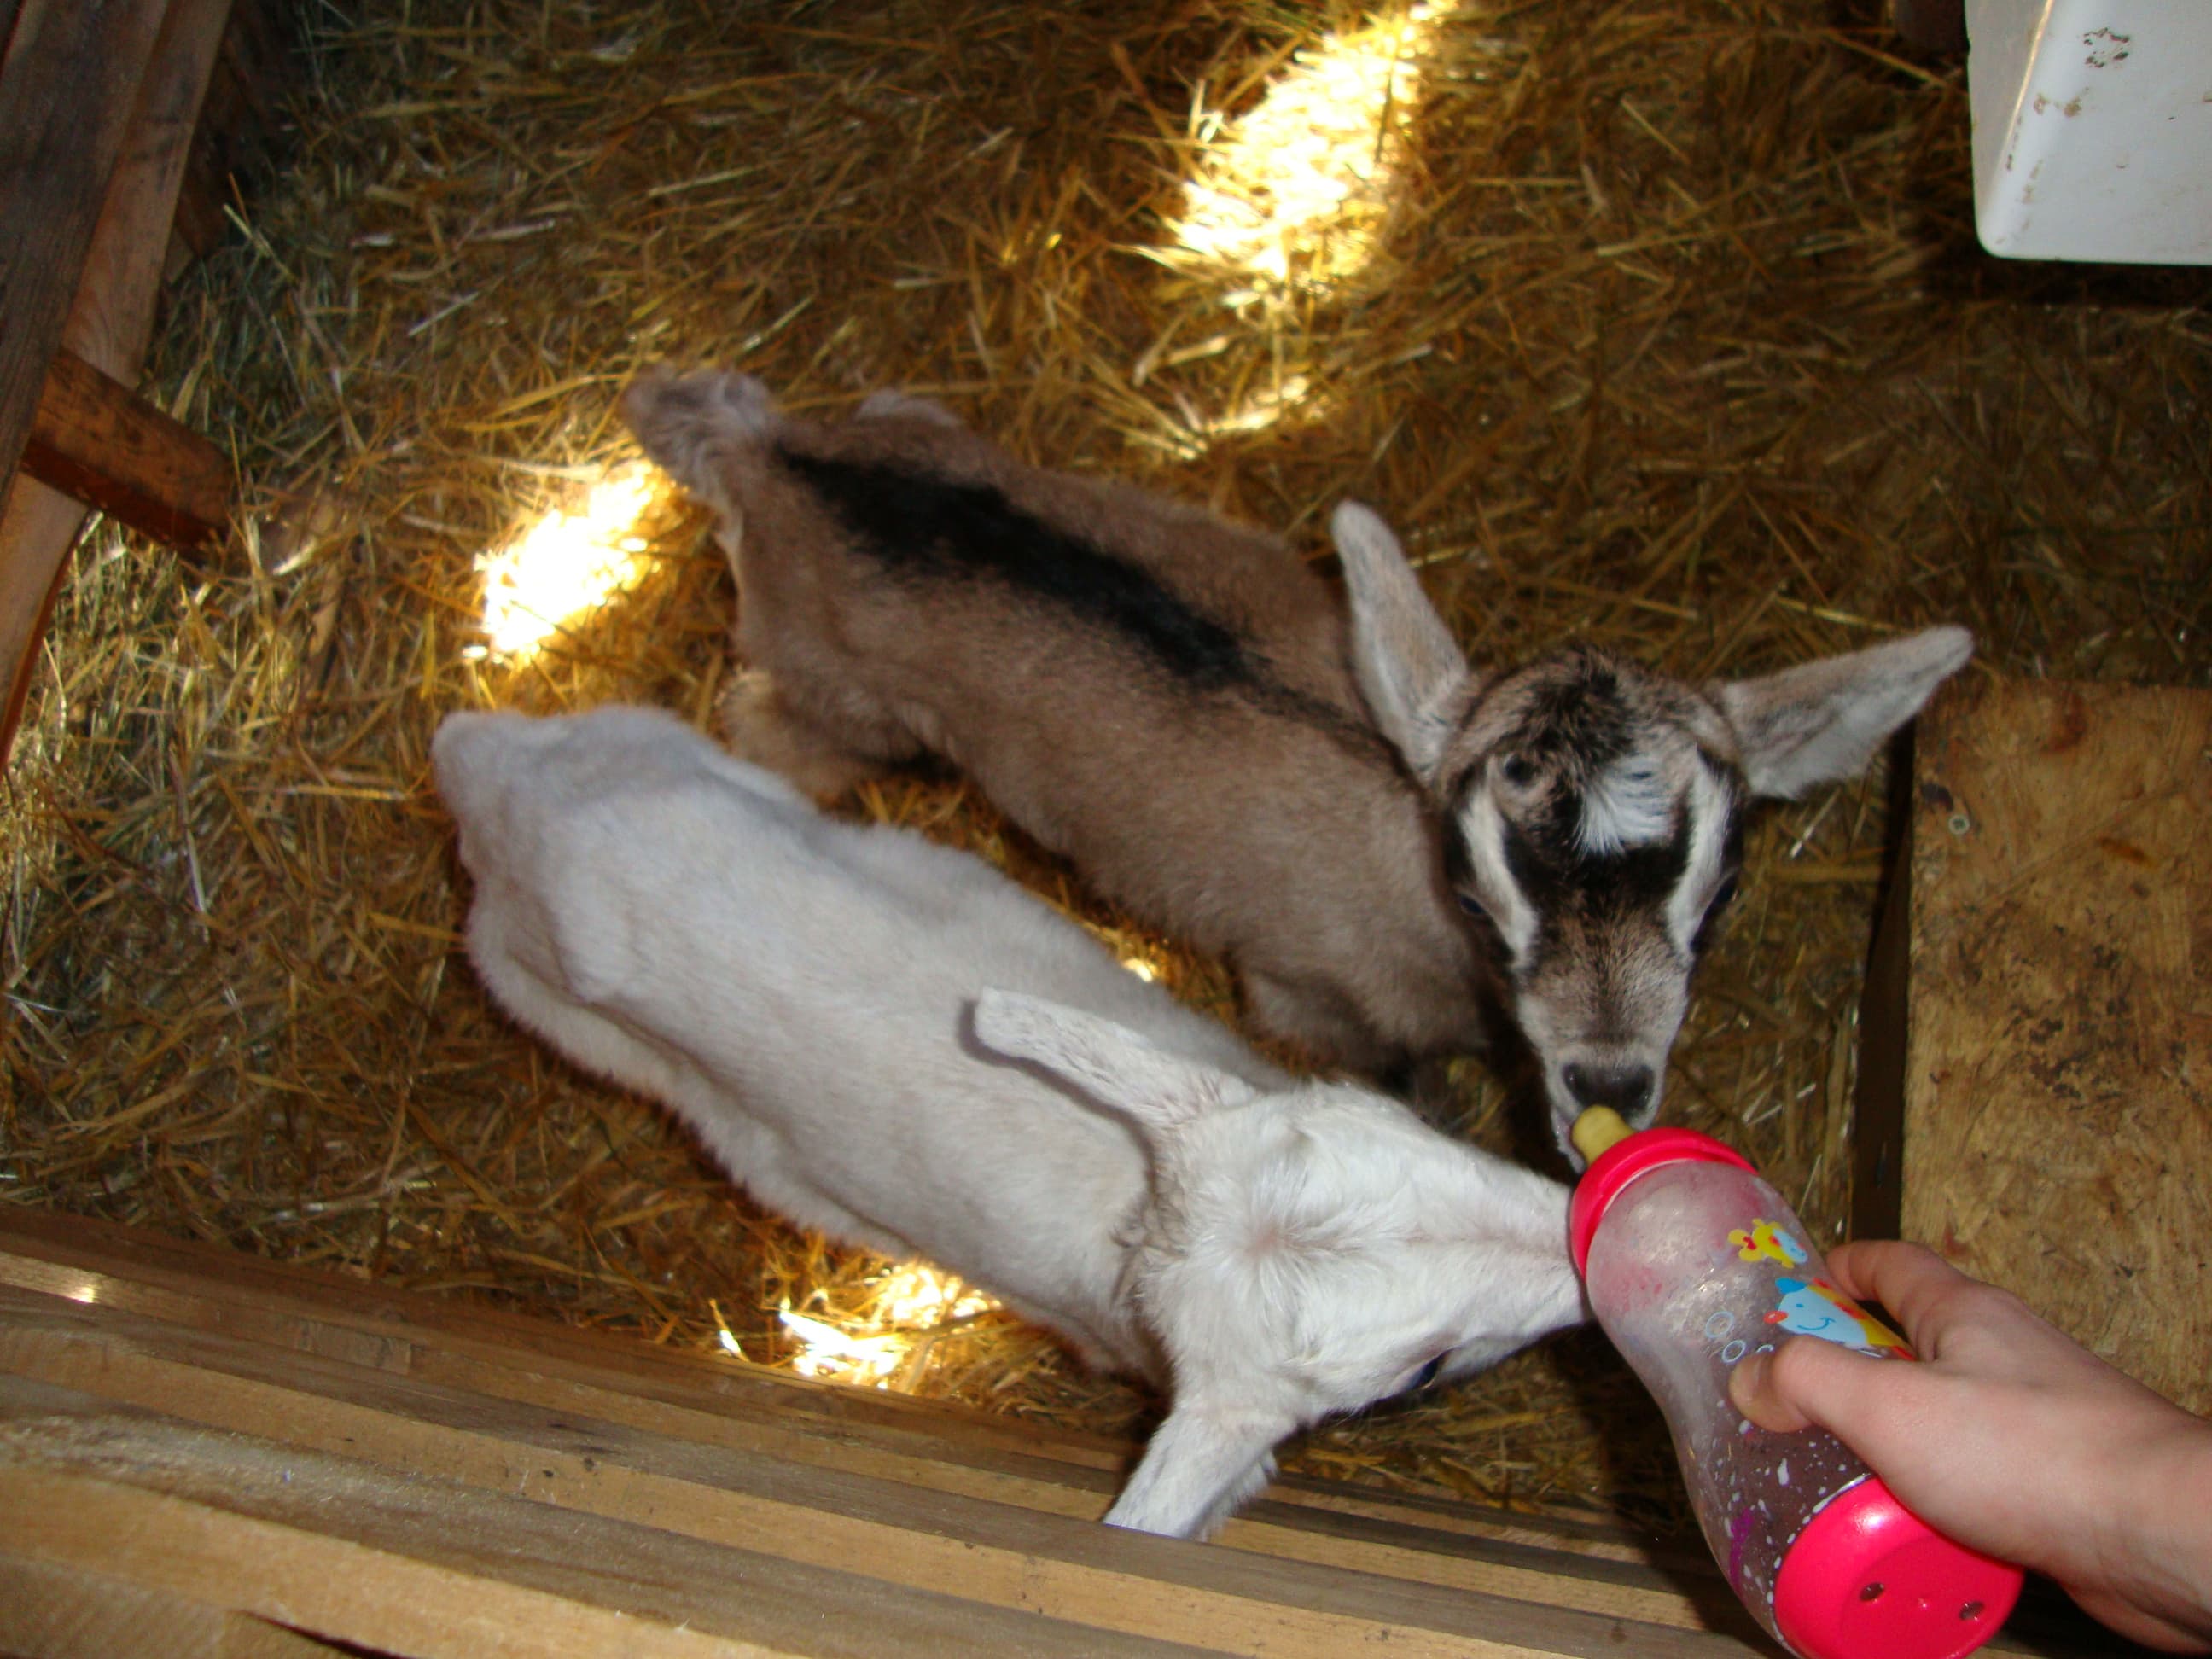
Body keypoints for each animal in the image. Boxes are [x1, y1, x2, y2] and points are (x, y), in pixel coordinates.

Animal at [432, 704, 1583, 1539]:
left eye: (1407, 1131)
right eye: (1419, 1368)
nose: (1582, 1243)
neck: (1139, 1211)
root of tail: (497, 781)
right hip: (549, 1003)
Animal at [619, 370, 1972, 1157]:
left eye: (1725, 887)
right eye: (1474, 890)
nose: (1610, 1077)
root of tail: (774, 460)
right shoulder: (1305, 992)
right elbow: (1387, 1068)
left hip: (920, 432)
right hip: (835, 697)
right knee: (768, 726)